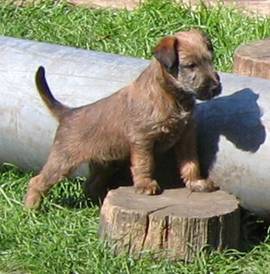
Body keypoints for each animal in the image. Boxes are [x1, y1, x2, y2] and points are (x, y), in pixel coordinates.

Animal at [24, 28, 221, 209]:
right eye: (191, 65)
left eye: (210, 60)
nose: (216, 88)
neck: (172, 96)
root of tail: (68, 113)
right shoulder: (143, 140)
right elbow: (145, 163)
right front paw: (145, 185)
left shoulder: (186, 136)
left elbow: (191, 162)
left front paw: (197, 183)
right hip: (63, 161)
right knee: (38, 181)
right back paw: (31, 208)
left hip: (105, 163)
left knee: (91, 184)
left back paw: (99, 202)